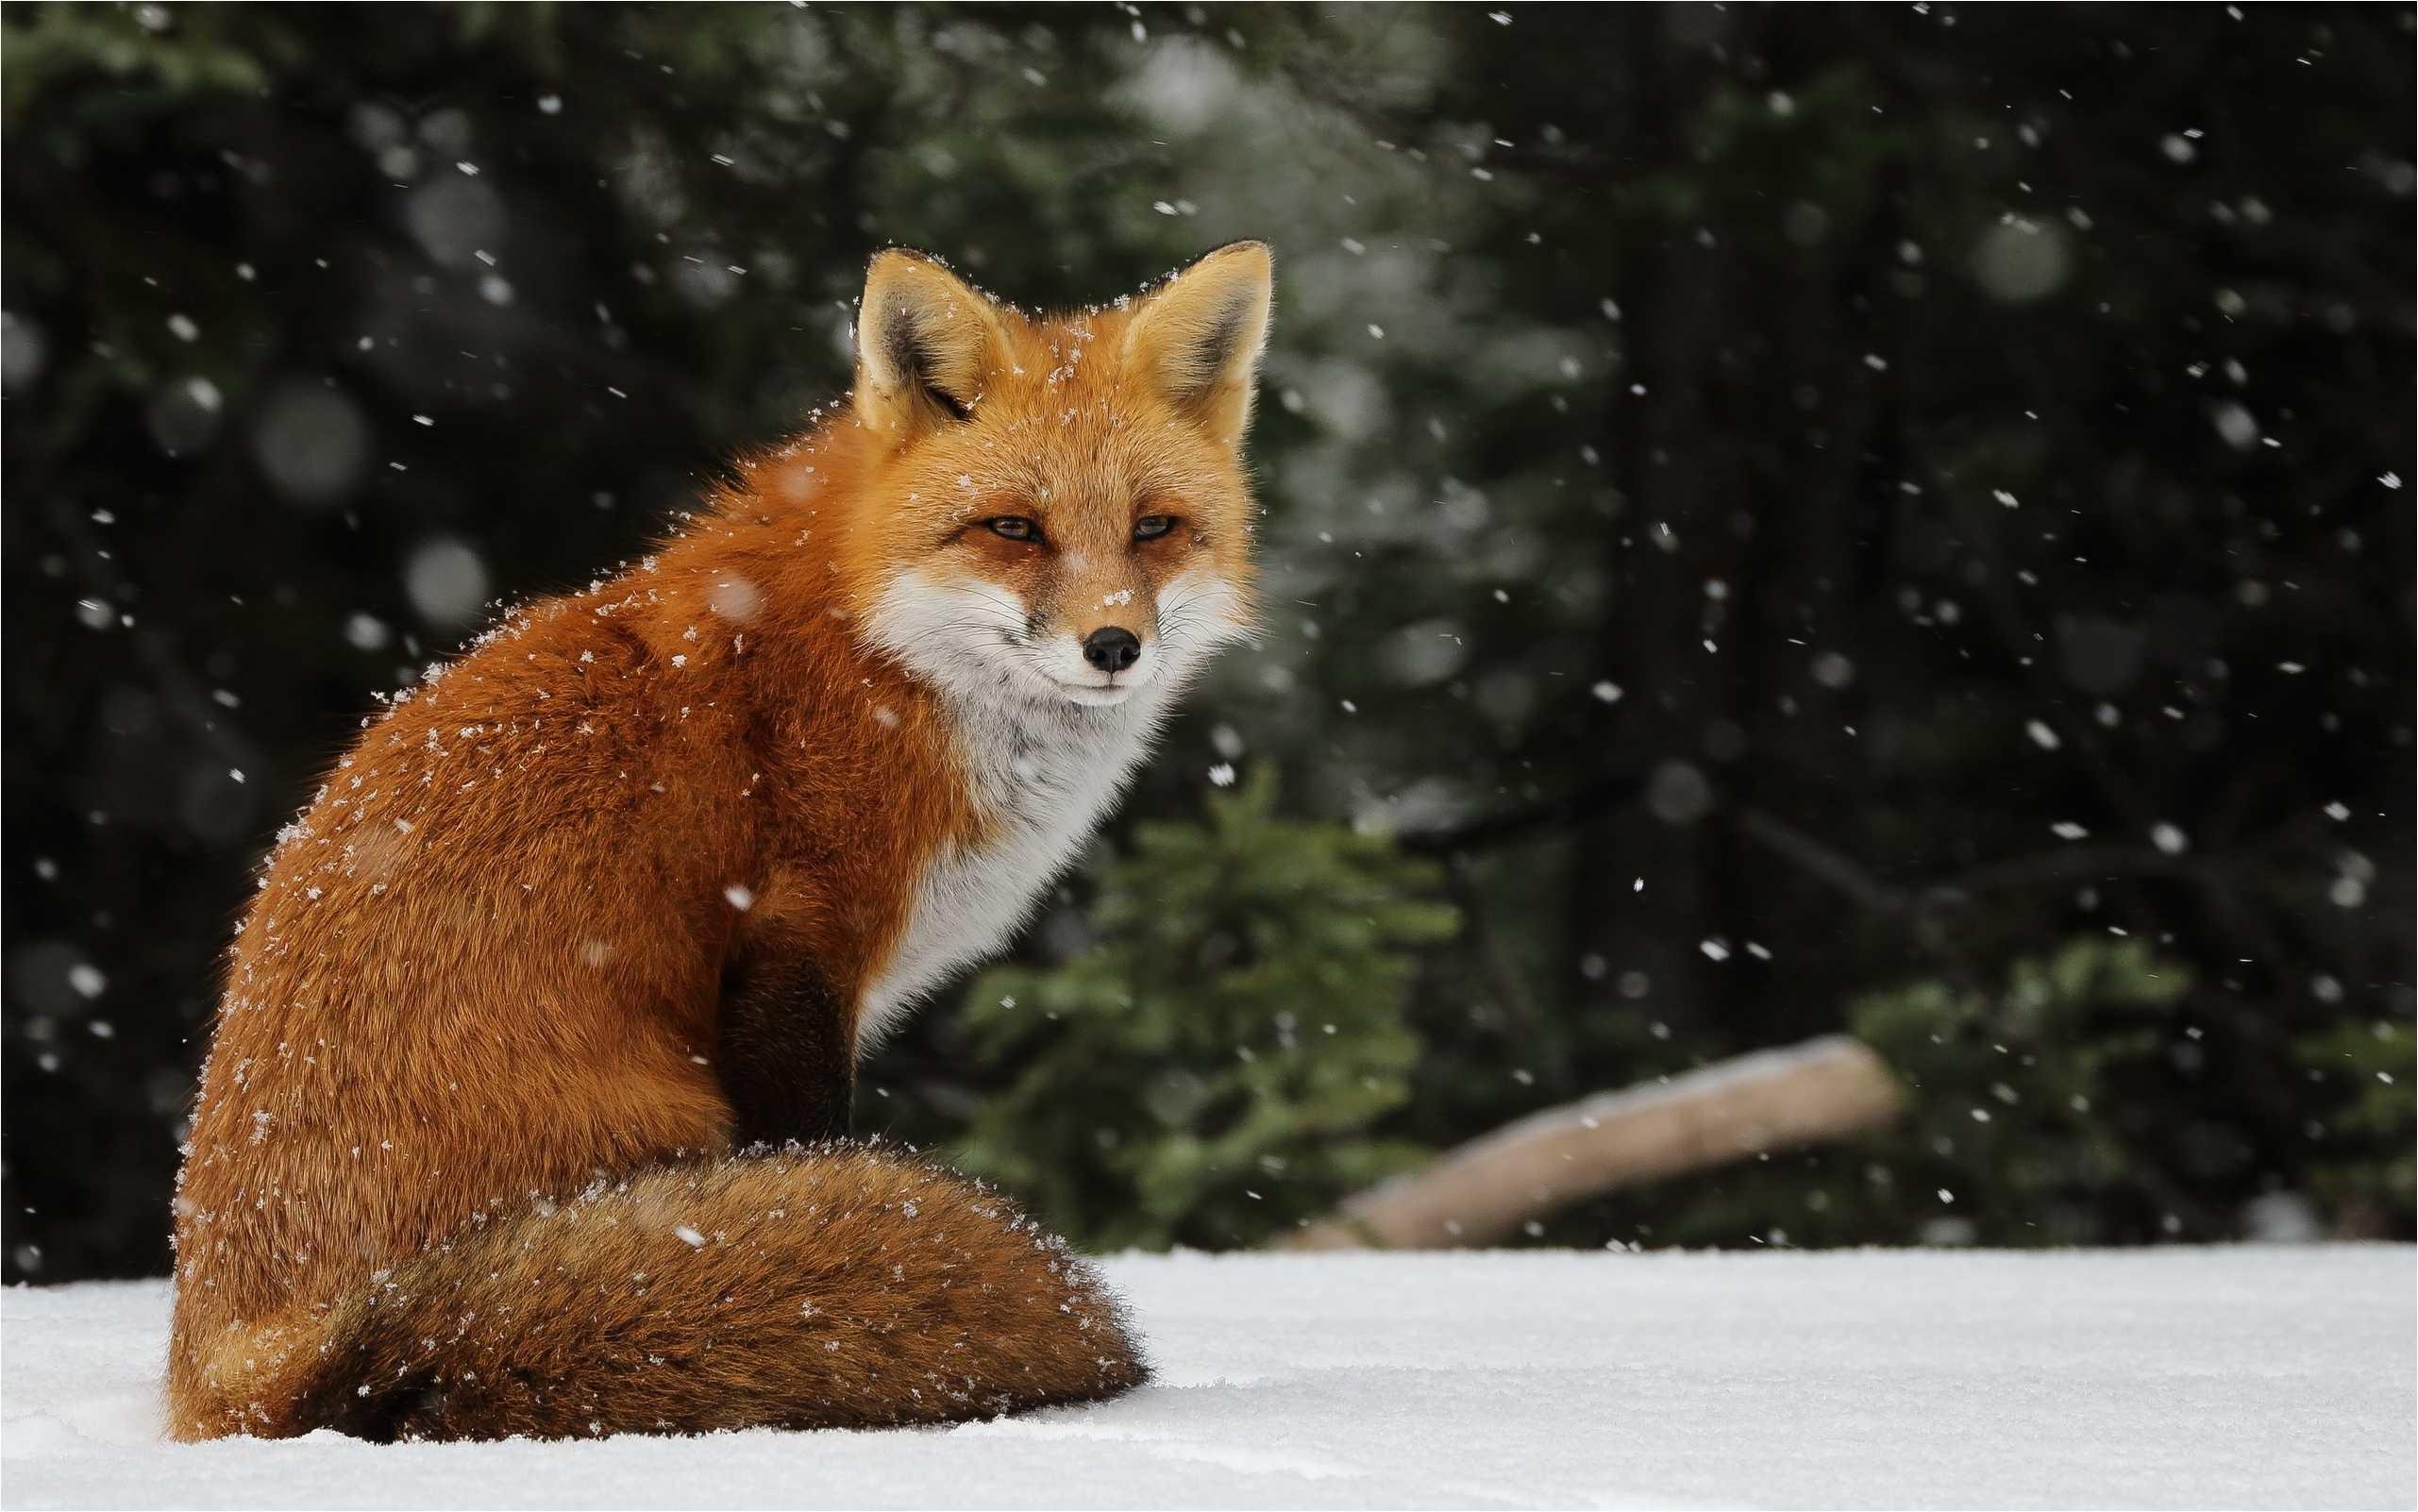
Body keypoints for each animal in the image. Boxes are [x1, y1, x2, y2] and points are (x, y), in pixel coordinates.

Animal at [165, 241, 1274, 1441]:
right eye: (1014, 529)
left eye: (1154, 527)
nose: (1113, 646)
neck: (884, 657)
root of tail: (245, 1365)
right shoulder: (798, 944)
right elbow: (813, 1141)